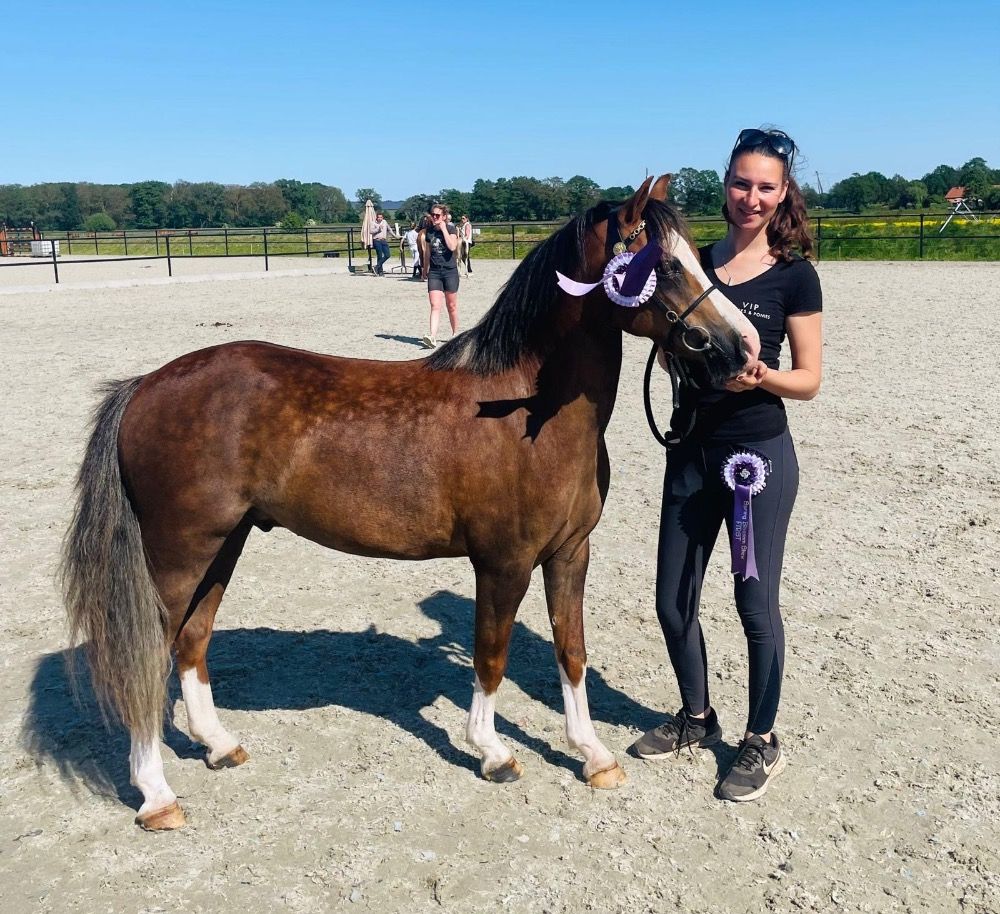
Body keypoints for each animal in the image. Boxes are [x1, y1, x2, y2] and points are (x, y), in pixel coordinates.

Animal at [61, 175, 760, 831]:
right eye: (666, 265)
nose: (742, 347)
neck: (526, 411)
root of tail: (144, 387)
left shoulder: (569, 554)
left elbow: (571, 652)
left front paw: (593, 755)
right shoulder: (503, 562)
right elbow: (491, 656)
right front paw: (493, 753)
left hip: (222, 546)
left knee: (193, 639)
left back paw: (218, 746)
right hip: (180, 554)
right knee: (150, 654)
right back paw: (157, 795)